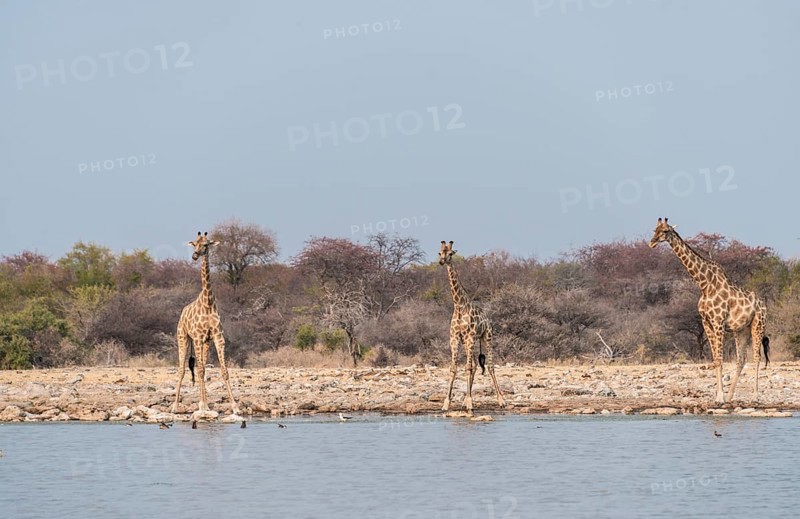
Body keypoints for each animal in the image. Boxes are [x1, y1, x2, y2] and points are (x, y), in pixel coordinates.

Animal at [171, 231, 240, 417]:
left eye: (206, 244)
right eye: (195, 243)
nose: (195, 255)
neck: (208, 303)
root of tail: (182, 312)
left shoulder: (217, 337)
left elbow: (223, 371)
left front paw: (235, 406)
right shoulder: (198, 337)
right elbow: (200, 370)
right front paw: (202, 405)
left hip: (205, 343)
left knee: (201, 368)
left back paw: (206, 404)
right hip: (183, 337)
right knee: (182, 370)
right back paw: (175, 406)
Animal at [438, 240, 505, 413]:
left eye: (450, 254)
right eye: (439, 253)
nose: (442, 261)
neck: (459, 305)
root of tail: (488, 319)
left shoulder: (468, 337)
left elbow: (467, 368)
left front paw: (469, 403)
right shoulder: (455, 339)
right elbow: (454, 368)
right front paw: (446, 403)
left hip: (486, 337)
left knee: (490, 366)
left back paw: (501, 400)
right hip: (472, 342)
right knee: (475, 365)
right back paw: (465, 401)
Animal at [648, 218, 770, 404]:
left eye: (665, 231)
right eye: (655, 229)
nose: (652, 243)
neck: (705, 285)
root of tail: (763, 304)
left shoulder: (718, 322)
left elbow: (719, 359)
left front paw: (719, 397)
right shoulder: (706, 323)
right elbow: (715, 360)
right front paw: (719, 396)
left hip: (758, 325)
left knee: (757, 357)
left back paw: (755, 396)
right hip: (741, 330)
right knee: (741, 359)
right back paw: (731, 396)